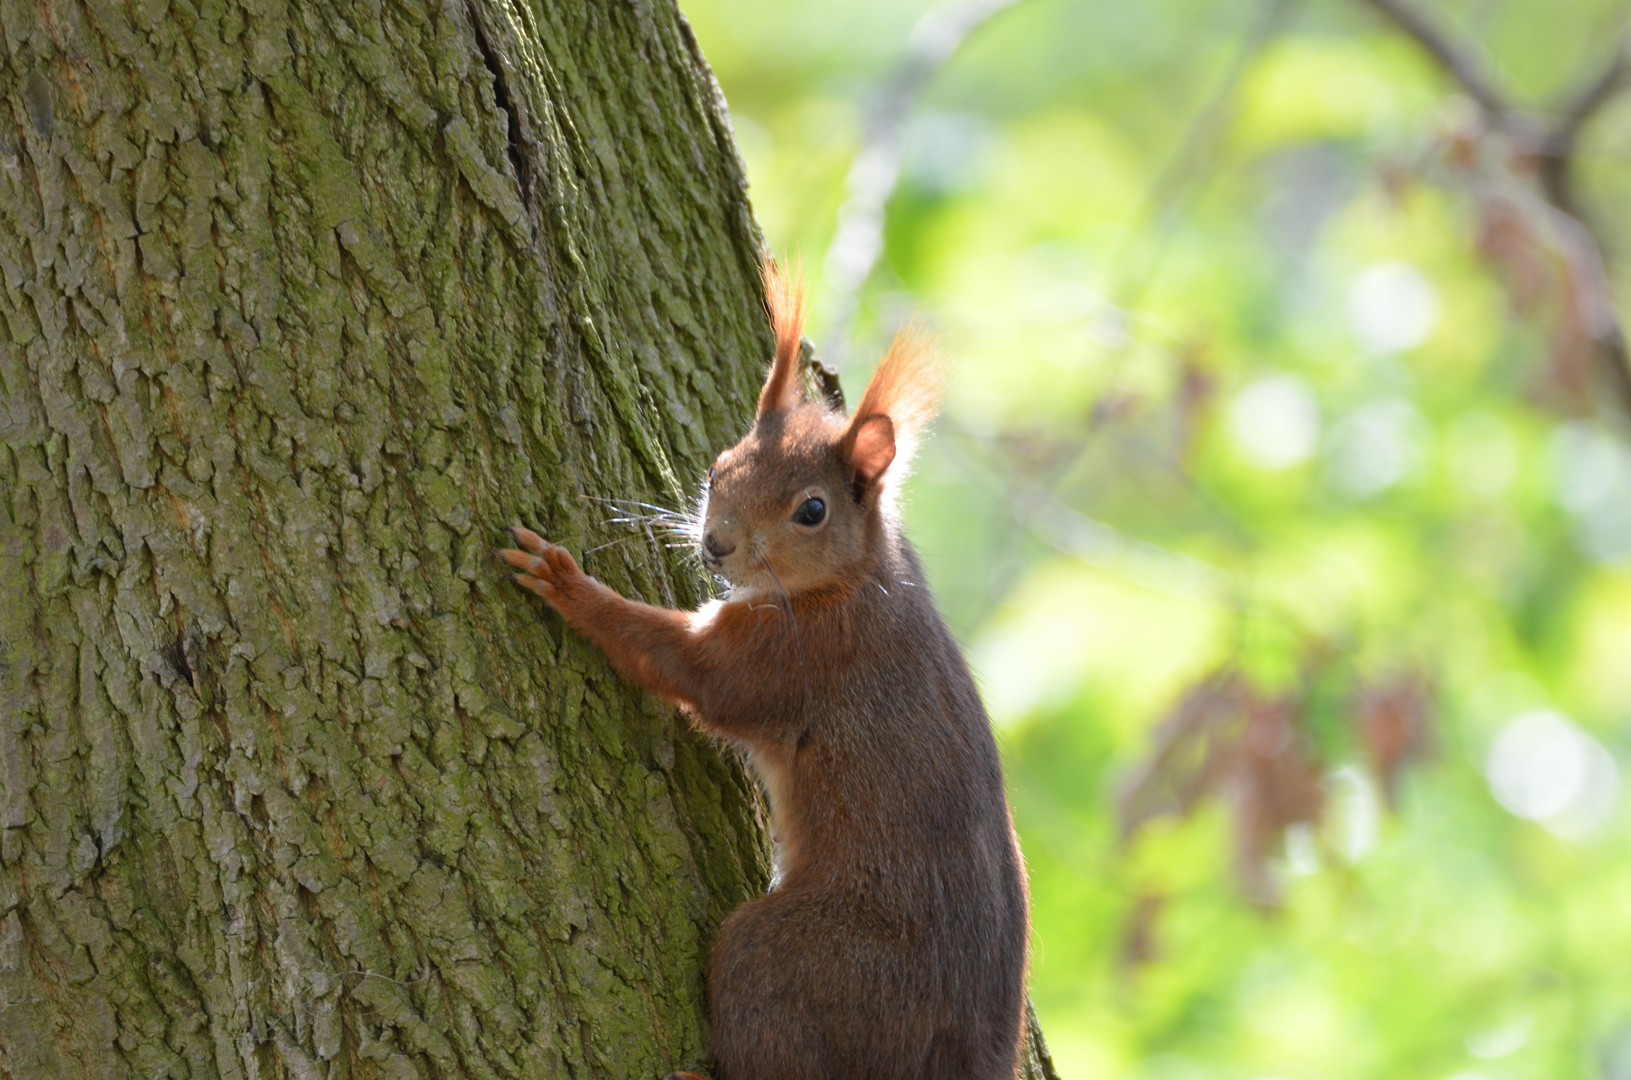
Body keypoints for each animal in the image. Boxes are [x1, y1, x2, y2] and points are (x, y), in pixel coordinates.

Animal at [495, 262, 1030, 1080]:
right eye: (718, 469)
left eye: (811, 510)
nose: (715, 546)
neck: (855, 579)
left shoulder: (791, 659)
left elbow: (690, 670)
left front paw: (567, 585)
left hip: (788, 959)